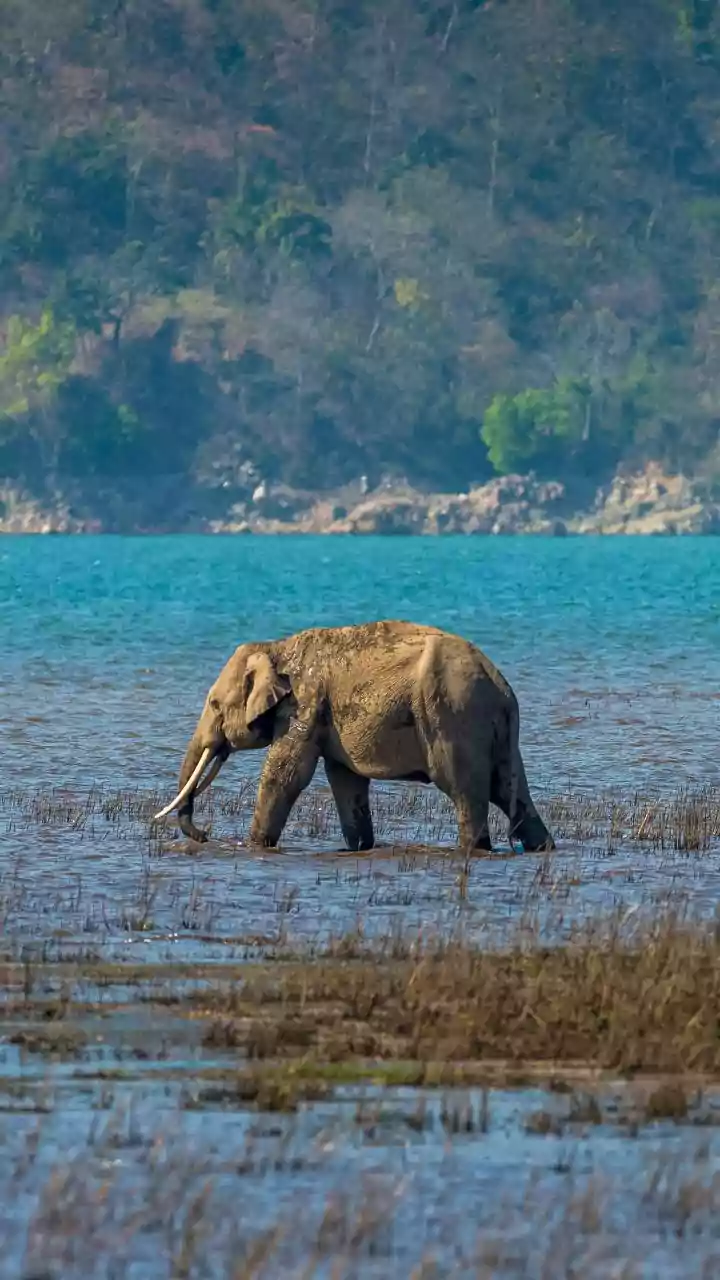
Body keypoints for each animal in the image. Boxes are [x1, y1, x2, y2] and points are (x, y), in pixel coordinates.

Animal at [153, 620, 555, 854]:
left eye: (215, 704)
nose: (205, 835)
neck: (276, 647)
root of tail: (501, 687)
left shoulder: (305, 703)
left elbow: (286, 775)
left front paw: (254, 847)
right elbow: (345, 780)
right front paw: (361, 848)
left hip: (454, 720)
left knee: (465, 791)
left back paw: (474, 849)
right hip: (491, 732)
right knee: (509, 791)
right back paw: (542, 848)